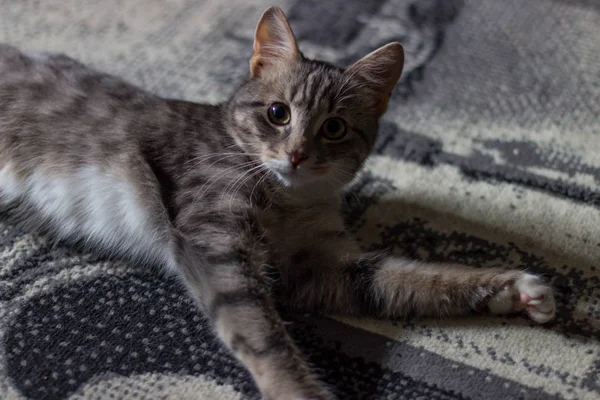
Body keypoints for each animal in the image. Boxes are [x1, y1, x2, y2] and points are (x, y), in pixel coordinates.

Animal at [0, 6, 552, 400]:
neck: (288, 199)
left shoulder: (320, 263)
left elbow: (411, 279)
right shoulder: (215, 238)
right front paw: (298, 391)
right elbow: (261, 333)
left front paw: (514, 289)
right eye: (276, 113)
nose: (297, 154)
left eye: (334, 127)